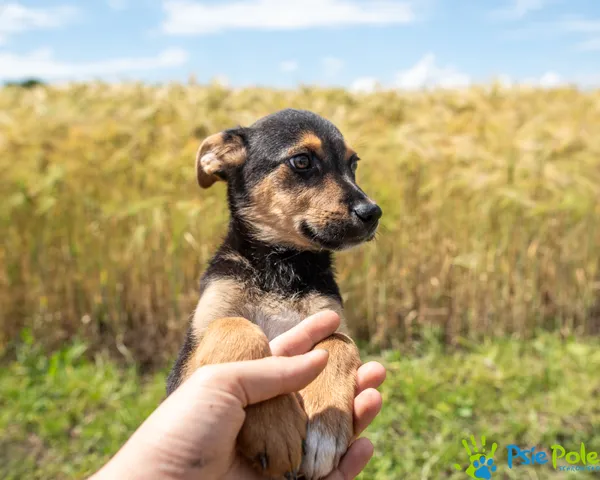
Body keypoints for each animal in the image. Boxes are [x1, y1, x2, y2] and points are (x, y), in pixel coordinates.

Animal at [166, 109, 382, 480]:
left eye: (353, 163)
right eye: (302, 161)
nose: (373, 213)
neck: (280, 264)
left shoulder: (329, 318)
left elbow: (339, 341)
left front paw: (325, 427)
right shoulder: (187, 365)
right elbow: (238, 328)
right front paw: (275, 426)